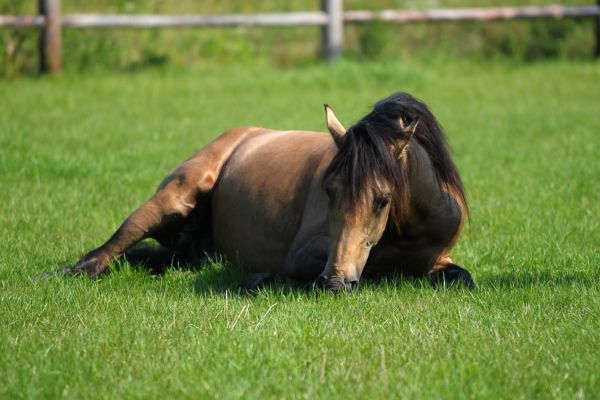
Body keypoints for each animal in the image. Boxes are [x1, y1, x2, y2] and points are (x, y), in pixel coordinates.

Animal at [52, 92, 474, 290]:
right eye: (329, 191)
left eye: (383, 199)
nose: (335, 282)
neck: (408, 230)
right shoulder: (306, 253)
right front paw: (260, 279)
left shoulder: (441, 259)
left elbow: (461, 277)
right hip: (171, 200)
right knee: (102, 254)